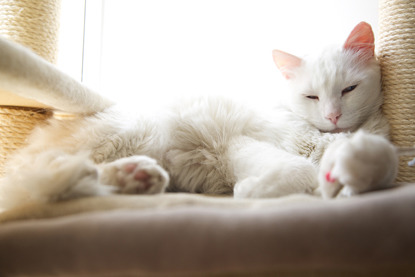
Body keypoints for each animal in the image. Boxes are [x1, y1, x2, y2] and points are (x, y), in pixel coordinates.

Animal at [0, 21, 400, 208]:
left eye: (348, 90)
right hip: (137, 131)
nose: (333, 117)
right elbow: (299, 168)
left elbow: (380, 165)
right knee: (42, 179)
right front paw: (252, 191)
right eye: (312, 96)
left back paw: (137, 178)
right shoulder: (238, 141)